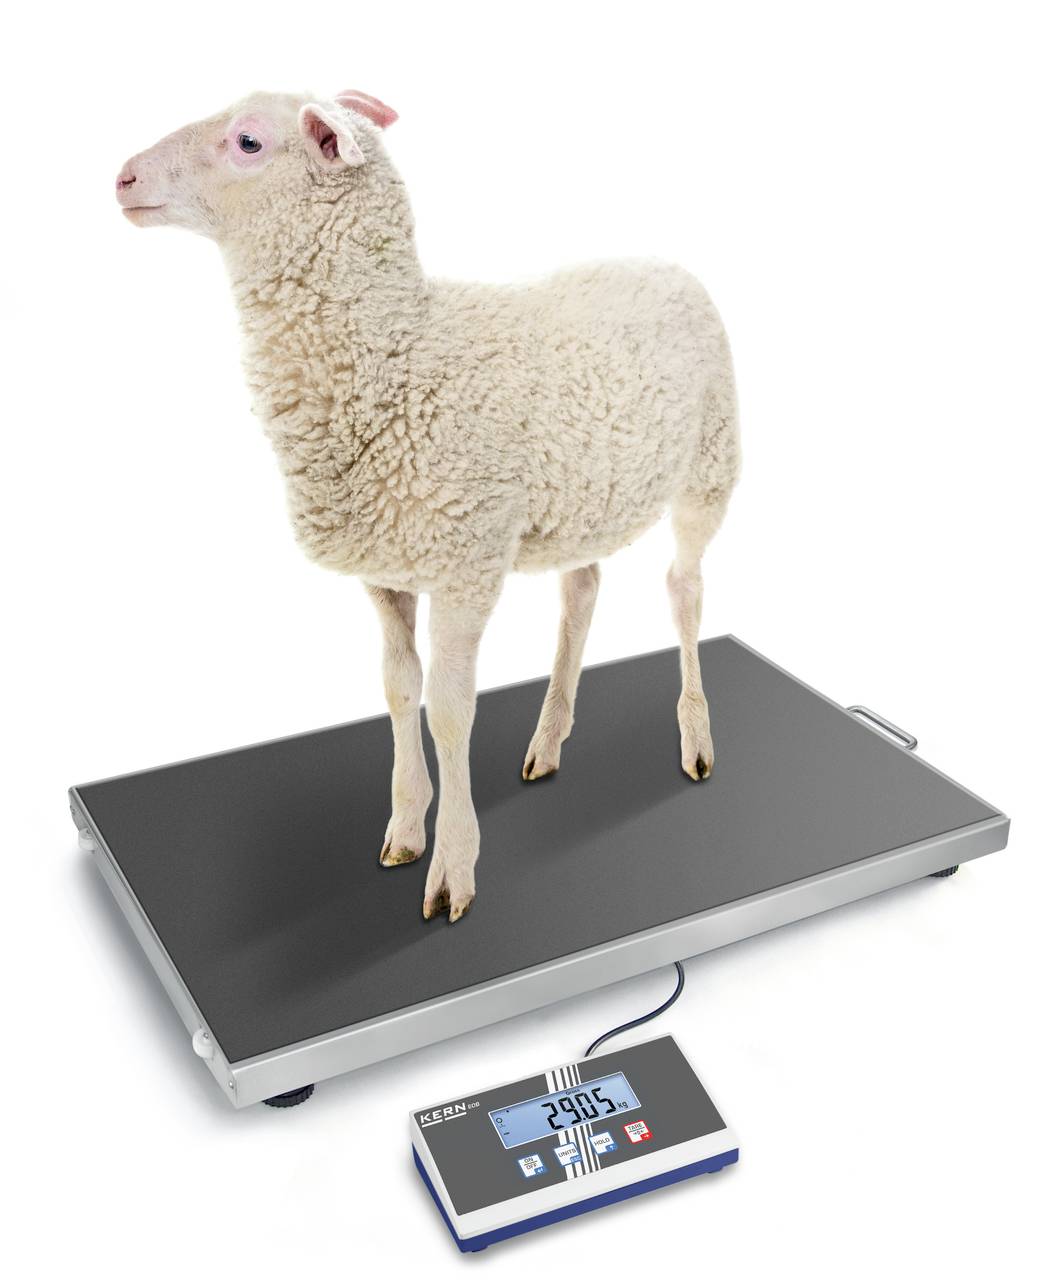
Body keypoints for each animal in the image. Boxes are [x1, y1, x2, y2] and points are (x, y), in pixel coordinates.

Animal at [114, 90, 740, 924]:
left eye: (248, 142)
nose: (123, 177)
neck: (400, 356)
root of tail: (665, 262)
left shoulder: (464, 561)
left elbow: (449, 709)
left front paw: (453, 869)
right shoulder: (385, 567)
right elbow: (397, 687)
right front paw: (406, 828)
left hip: (710, 460)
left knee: (684, 589)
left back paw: (695, 739)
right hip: (582, 498)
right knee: (581, 592)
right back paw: (550, 739)